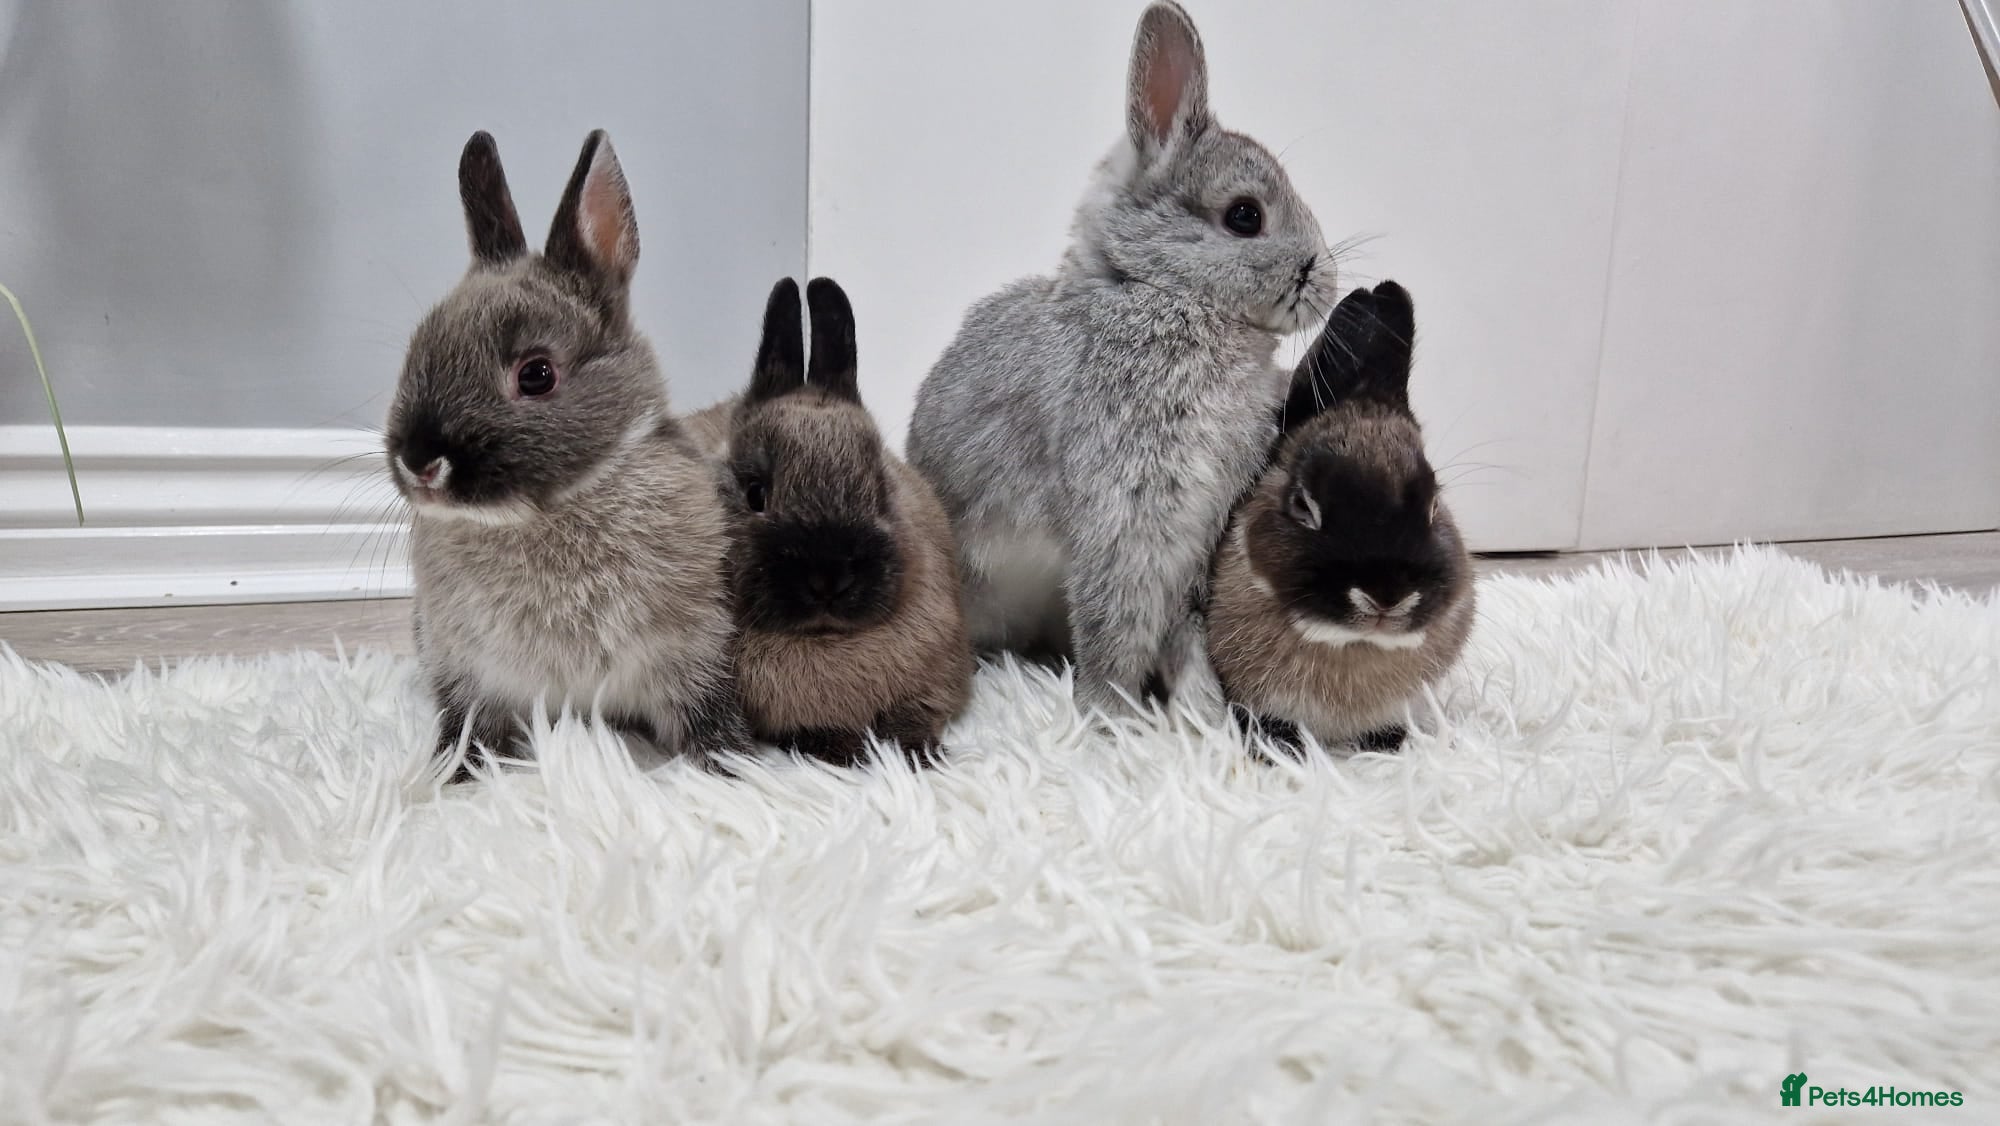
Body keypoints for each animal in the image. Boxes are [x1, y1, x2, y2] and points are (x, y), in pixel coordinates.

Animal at [384, 129, 752, 780]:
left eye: (536, 374)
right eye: (418, 350)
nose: (420, 462)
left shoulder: (697, 655)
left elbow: (706, 720)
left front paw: (726, 772)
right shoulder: (468, 673)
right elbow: (467, 727)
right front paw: (453, 776)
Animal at [685, 277, 974, 765]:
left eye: (882, 487)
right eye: (755, 493)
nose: (828, 579)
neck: (825, 639)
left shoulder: (934, 680)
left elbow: (913, 714)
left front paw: (917, 753)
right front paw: (847, 749)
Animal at [906, 0, 1339, 715]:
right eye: (1245, 216)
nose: (1324, 284)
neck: (1163, 294)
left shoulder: (1201, 534)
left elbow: (1185, 628)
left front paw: (1202, 714)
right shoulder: (1126, 523)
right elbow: (1119, 630)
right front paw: (1112, 719)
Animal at [1205, 281, 1475, 753]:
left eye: (1434, 504)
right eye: (1302, 504)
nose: (1386, 596)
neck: (1352, 645)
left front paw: (1389, 747)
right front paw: (1278, 752)